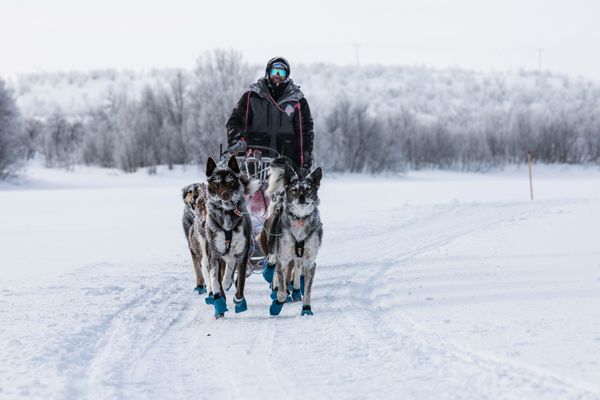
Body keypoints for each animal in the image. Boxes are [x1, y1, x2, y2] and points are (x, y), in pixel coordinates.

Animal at [205, 155, 258, 318]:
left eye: (230, 181)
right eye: (216, 182)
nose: (225, 195)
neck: (227, 213)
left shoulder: (242, 255)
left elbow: (240, 282)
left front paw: (239, 301)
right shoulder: (214, 254)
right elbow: (214, 278)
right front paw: (218, 300)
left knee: (231, 267)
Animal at [258, 159, 324, 316]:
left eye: (308, 189)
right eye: (294, 190)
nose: (301, 197)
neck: (300, 219)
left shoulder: (309, 262)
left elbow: (307, 291)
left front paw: (306, 308)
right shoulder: (283, 259)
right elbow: (281, 291)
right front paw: (276, 304)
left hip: (297, 259)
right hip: (274, 247)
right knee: (272, 264)